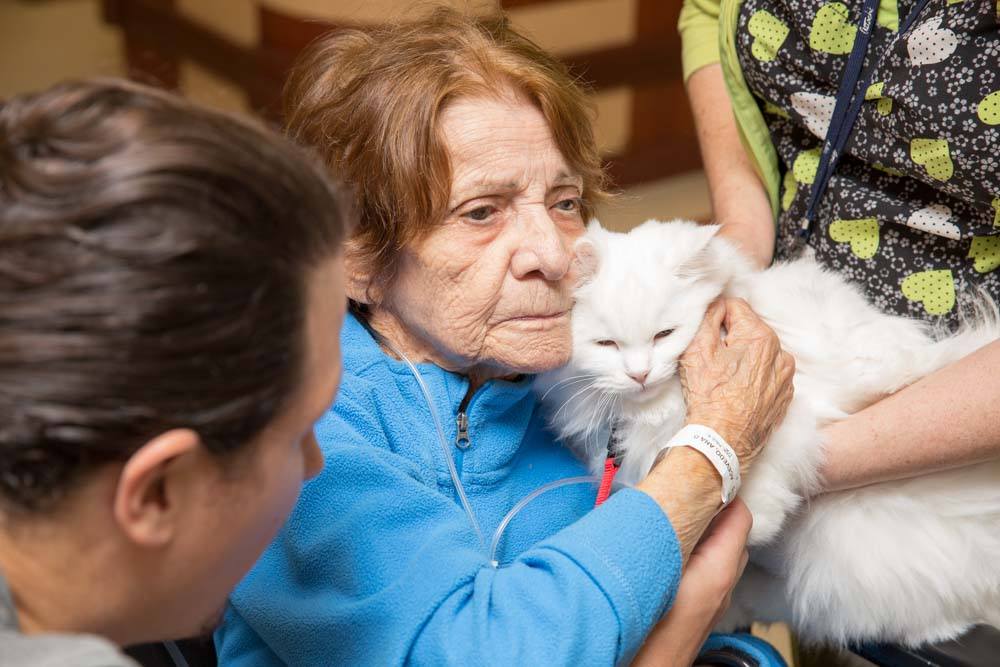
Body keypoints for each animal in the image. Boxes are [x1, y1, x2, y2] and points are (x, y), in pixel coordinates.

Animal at [540, 219, 1000, 648]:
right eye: (606, 344)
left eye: (664, 334)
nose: (639, 374)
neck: (656, 408)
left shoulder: (789, 400)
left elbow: (760, 456)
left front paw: (756, 519)